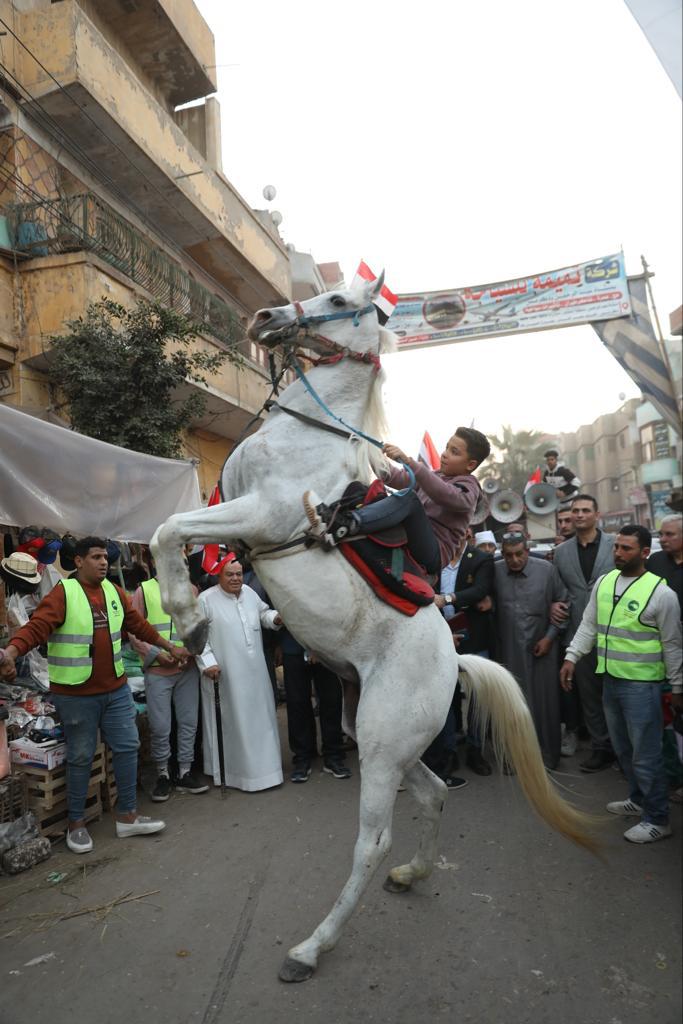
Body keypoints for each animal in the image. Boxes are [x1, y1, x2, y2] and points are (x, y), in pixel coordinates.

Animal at [150, 276, 598, 978]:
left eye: (338, 300)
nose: (264, 317)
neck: (305, 437)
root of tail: (454, 661)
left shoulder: (261, 515)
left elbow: (169, 529)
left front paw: (190, 621)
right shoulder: (231, 506)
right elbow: (167, 531)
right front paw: (192, 620)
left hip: (385, 744)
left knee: (374, 841)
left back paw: (312, 947)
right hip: (382, 737)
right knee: (434, 794)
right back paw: (412, 875)